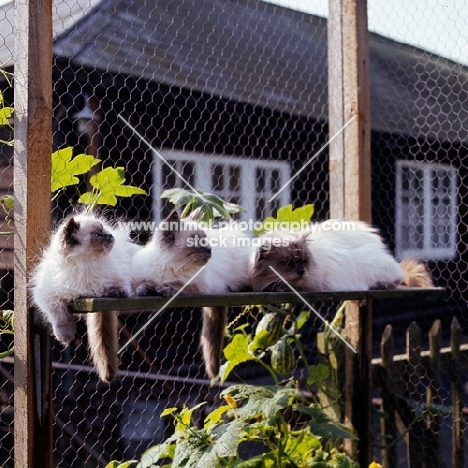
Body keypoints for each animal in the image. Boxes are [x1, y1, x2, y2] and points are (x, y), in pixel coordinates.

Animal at [30, 212, 134, 380]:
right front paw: (65, 336)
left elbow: (117, 287)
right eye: (96, 235)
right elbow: (59, 316)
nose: (110, 235)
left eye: (104, 231)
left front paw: (115, 292)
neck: (85, 265)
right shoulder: (46, 296)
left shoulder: (113, 281)